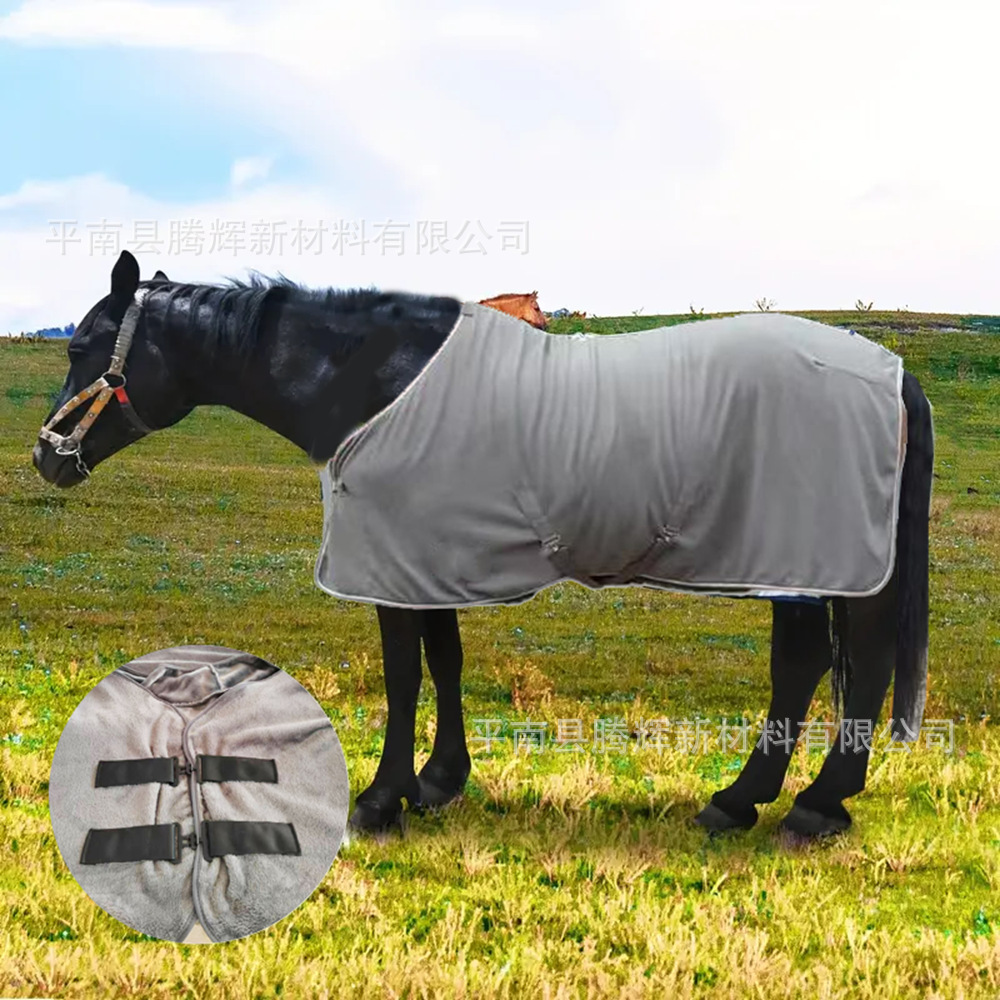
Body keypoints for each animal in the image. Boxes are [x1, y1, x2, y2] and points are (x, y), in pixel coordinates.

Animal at [33, 251, 933, 839]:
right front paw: (439, 782)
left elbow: (404, 674)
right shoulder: (425, 560)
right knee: (809, 667)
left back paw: (810, 806)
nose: (47, 456)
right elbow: (445, 661)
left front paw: (381, 799)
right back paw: (749, 801)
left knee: (840, 667)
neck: (374, 381)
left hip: (814, 563)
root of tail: (891, 372)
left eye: (80, 346)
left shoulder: (394, 564)